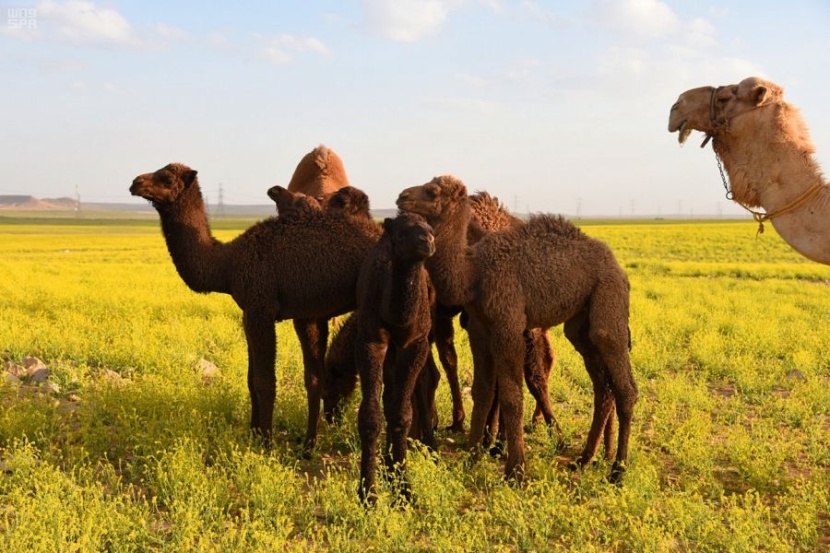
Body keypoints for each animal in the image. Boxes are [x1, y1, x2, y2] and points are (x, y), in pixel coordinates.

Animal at [128, 163, 382, 448]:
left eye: (167, 179)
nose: (136, 183)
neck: (226, 263)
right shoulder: (249, 312)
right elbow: (252, 380)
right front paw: (254, 434)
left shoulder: (262, 309)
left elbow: (264, 381)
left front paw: (266, 443)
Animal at [400, 177, 640, 484]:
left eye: (432, 191)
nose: (402, 196)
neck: (474, 271)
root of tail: (619, 269)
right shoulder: (480, 328)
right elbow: (482, 390)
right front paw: (472, 457)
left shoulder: (508, 325)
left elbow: (512, 396)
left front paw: (515, 469)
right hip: (580, 324)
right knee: (602, 386)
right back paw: (585, 459)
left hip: (608, 298)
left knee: (622, 379)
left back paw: (618, 470)